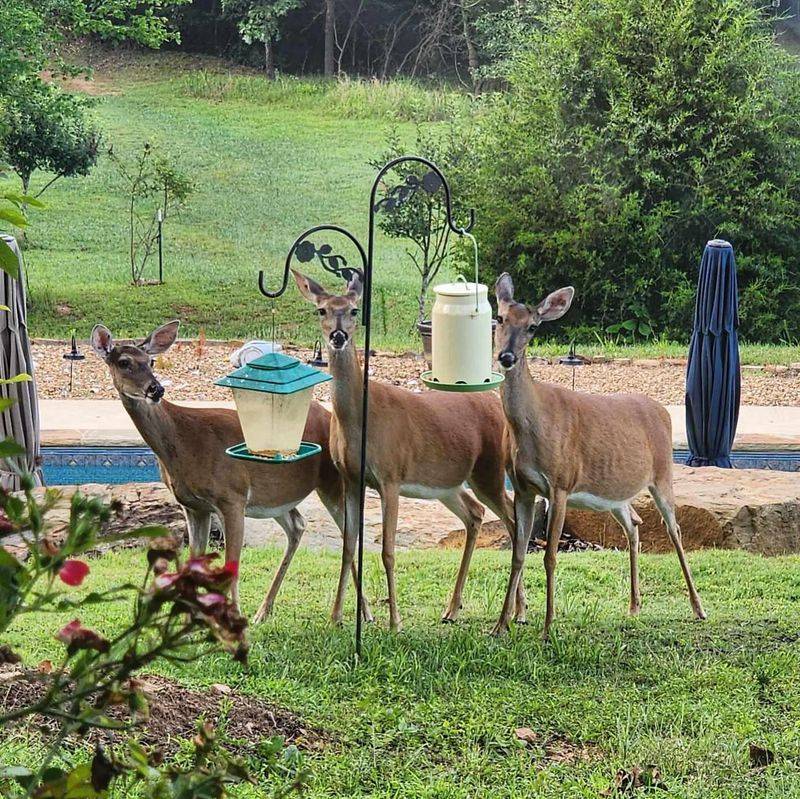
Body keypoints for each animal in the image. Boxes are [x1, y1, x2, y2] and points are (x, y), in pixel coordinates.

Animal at [90, 321, 373, 624]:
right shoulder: (194, 506)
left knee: (349, 534)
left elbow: (230, 565)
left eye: (150, 361)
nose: (156, 389)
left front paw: (231, 617)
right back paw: (263, 611)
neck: (182, 442)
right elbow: (194, 563)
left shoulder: (232, 496)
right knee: (298, 525)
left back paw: (364, 614)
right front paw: (192, 620)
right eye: (124, 362)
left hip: (332, 481)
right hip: (276, 497)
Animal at [292, 268, 529, 632]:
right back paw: (453, 609)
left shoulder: (390, 475)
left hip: (488, 471)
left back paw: (518, 612)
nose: (337, 336)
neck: (360, 420)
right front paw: (336, 616)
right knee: (475, 513)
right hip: (447, 483)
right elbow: (348, 546)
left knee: (513, 524)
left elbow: (388, 550)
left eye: (354, 310)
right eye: (321, 310)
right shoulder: (351, 477)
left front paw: (395, 621)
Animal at [492, 273, 707, 637]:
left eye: (533, 327)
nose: (506, 357)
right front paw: (500, 625)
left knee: (673, 530)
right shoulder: (522, 488)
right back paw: (634, 606)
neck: (531, 425)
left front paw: (548, 628)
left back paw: (698, 608)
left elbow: (550, 556)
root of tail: (662, 410)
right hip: (615, 496)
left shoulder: (560, 484)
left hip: (663, 473)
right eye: (500, 317)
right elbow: (518, 554)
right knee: (634, 526)